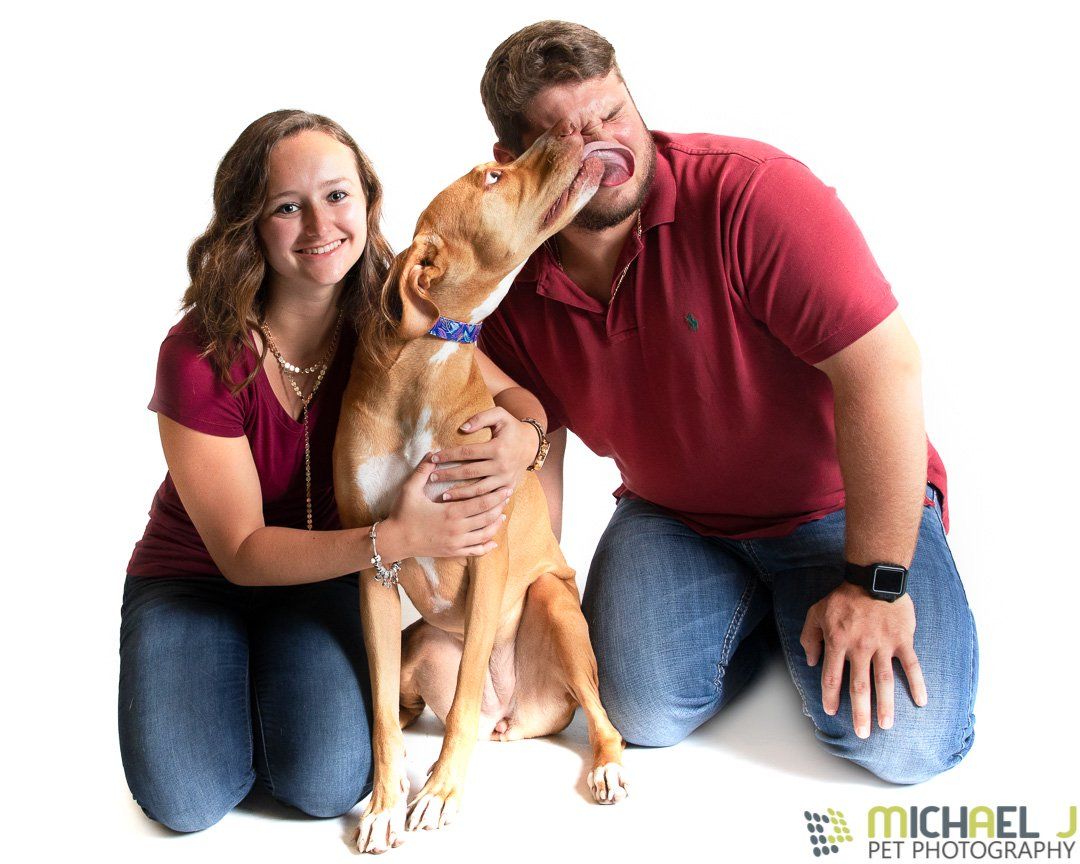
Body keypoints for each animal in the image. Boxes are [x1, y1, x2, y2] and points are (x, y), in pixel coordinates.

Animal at [333, 120, 635, 854]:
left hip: (554, 608)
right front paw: (384, 803)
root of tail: (519, 714)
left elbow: (468, 686)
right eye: (492, 178)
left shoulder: (486, 556)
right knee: (413, 703)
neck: (426, 364)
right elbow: (379, 710)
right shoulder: (374, 566)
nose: (567, 130)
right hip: (419, 644)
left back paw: (607, 767)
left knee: (598, 717)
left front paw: (440, 792)